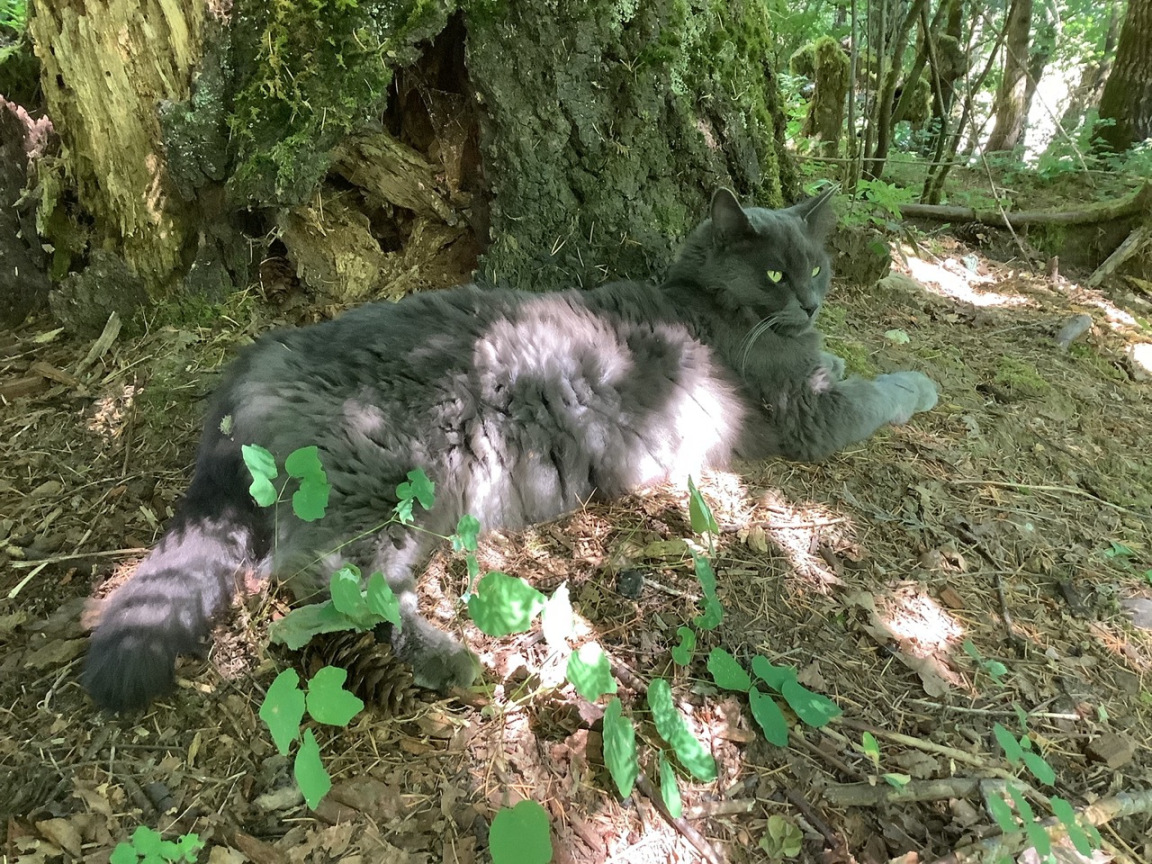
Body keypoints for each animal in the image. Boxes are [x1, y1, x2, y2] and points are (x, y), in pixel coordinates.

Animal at [87, 187, 935, 709]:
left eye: (816, 265)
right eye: (775, 272)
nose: (813, 301)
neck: (706, 302)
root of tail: (258, 357)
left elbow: (847, 369)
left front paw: (846, 354)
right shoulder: (808, 414)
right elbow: (879, 393)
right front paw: (919, 385)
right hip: (398, 478)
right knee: (314, 573)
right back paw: (447, 657)